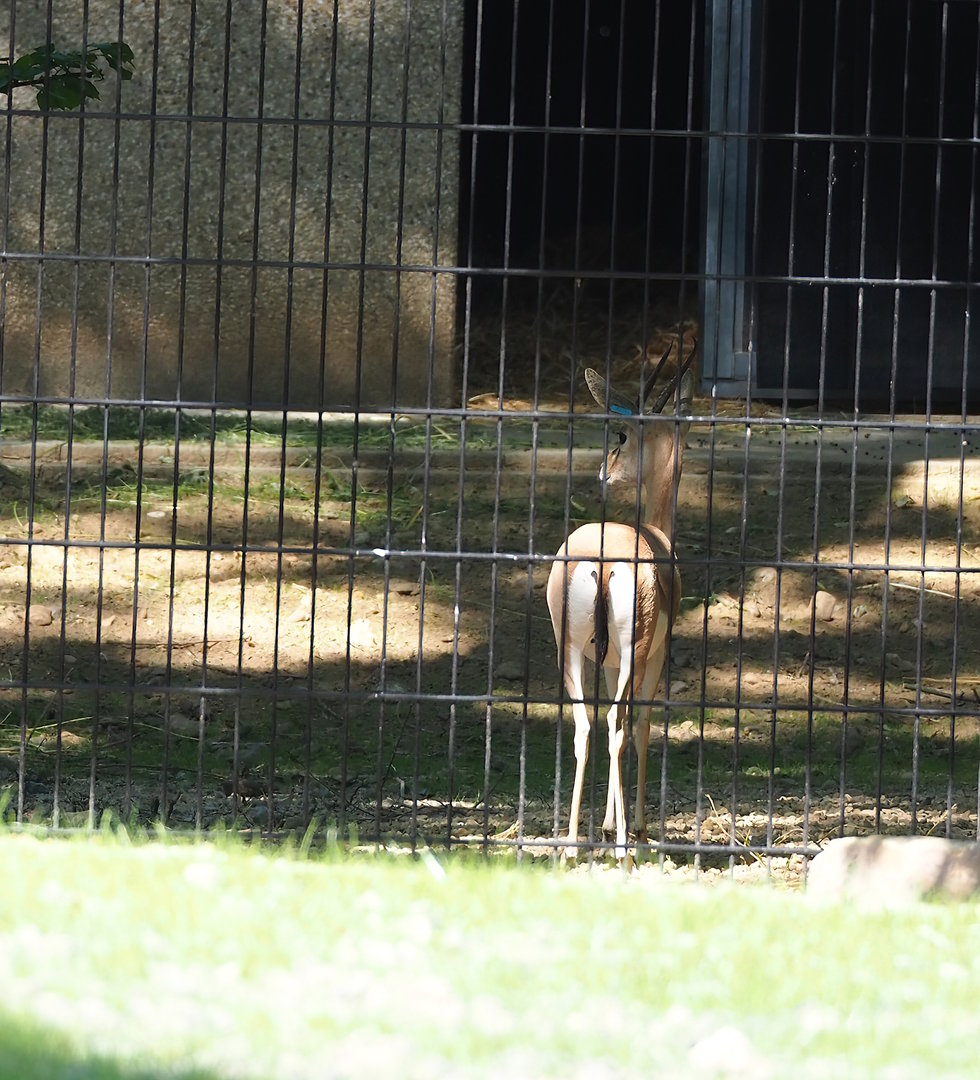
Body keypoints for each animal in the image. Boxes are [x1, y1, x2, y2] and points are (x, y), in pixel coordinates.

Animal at [546, 341, 696, 859]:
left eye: (623, 435)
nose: (604, 470)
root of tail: (604, 560)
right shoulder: (653, 656)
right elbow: (642, 723)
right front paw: (636, 827)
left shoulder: (607, 662)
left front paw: (610, 823)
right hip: (631, 652)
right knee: (616, 722)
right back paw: (624, 847)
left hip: (570, 652)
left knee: (585, 725)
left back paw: (573, 843)